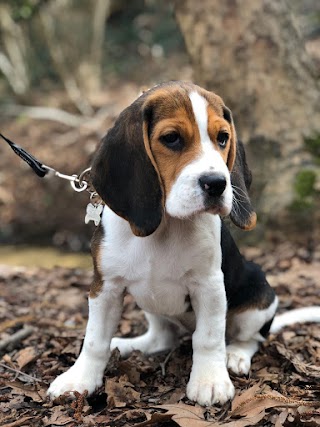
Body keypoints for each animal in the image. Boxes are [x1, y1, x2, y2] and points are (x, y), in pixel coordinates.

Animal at [47, 81, 320, 408]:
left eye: (223, 138)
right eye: (172, 138)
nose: (217, 184)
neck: (167, 224)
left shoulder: (209, 284)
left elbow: (209, 337)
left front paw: (209, 381)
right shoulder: (105, 286)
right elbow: (94, 340)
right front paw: (79, 379)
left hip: (260, 296)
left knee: (250, 338)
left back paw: (235, 356)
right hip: (149, 304)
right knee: (161, 337)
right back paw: (127, 346)